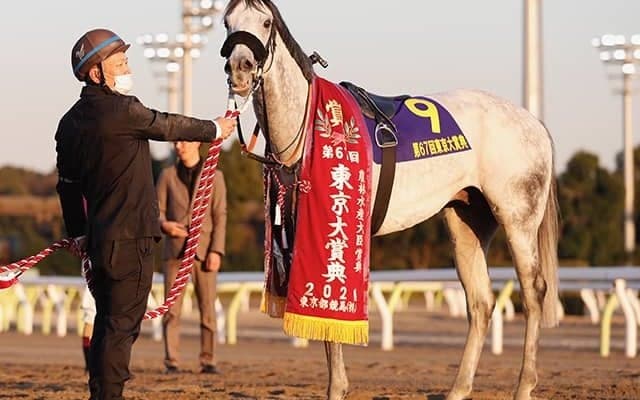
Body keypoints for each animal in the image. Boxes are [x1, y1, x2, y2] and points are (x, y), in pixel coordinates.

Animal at [220, 1, 559, 399]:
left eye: (265, 21)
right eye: (227, 23)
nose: (240, 67)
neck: (309, 127)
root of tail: (533, 123)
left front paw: (337, 388)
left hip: (518, 216)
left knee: (534, 292)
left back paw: (524, 386)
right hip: (467, 221)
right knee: (480, 303)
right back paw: (458, 389)